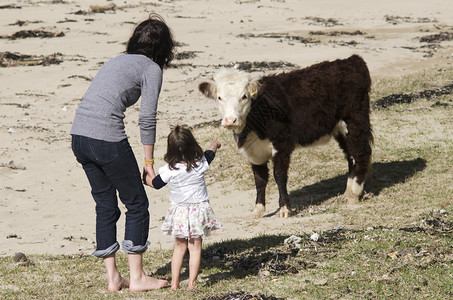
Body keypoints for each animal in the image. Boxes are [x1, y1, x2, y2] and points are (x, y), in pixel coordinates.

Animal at [200, 55, 372, 217]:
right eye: (219, 97)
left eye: (244, 96)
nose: (230, 120)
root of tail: (352, 60)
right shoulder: (254, 152)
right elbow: (260, 180)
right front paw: (257, 210)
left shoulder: (282, 145)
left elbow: (279, 176)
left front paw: (284, 209)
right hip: (340, 129)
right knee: (350, 156)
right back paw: (348, 192)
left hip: (355, 120)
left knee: (361, 153)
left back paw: (353, 194)